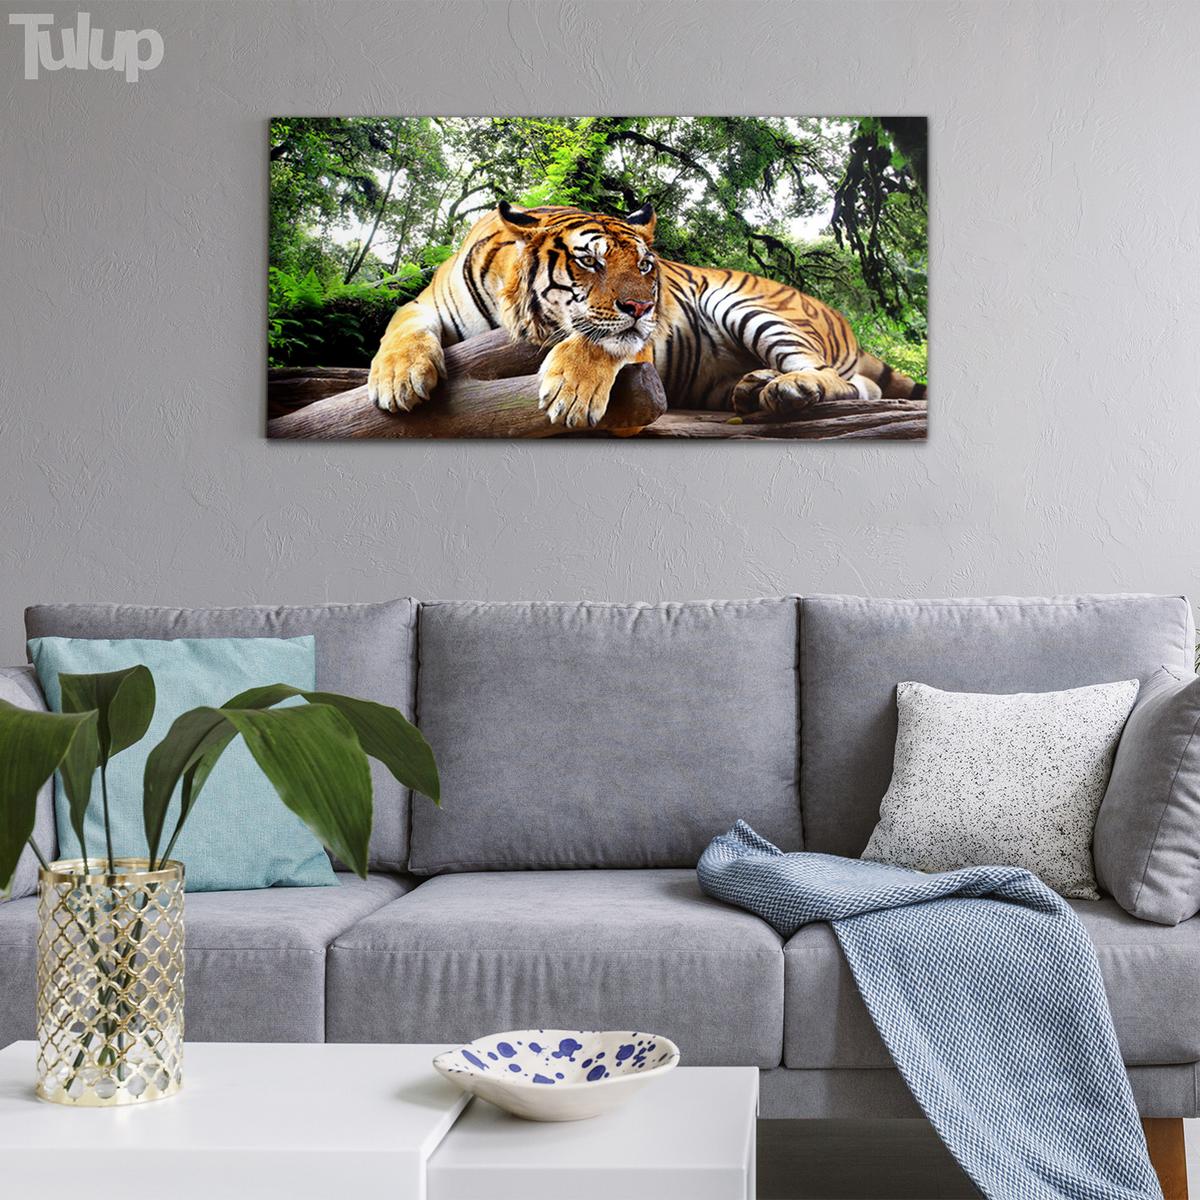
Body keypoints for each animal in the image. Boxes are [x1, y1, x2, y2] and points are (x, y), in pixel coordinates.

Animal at [367, 201, 925, 429]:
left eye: (643, 265)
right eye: (589, 260)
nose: (642, 306)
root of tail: (842, 318)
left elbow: (597, 339)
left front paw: (571, 393)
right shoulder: (423, 304)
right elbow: (399, 326)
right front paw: (398, 379)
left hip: (747, 305)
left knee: (838, 379)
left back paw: (789, 389)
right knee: (860, 386)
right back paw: (753, 386)